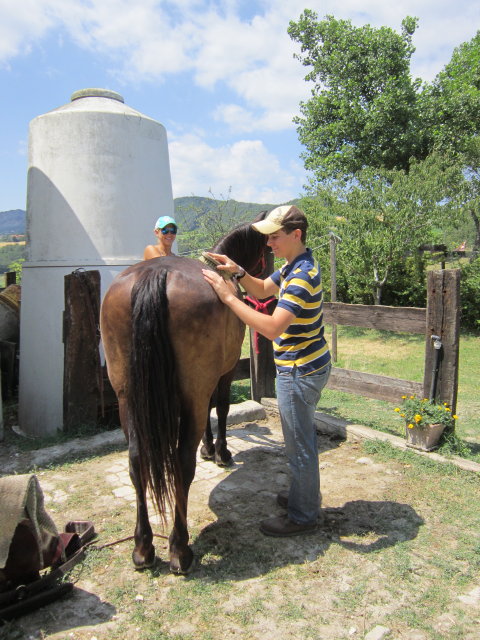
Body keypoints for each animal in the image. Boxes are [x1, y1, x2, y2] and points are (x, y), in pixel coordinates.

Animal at [100, 213, 269, 574]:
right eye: (266, 249)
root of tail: (155, 275)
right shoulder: (221, 375)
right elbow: (220, 409)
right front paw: (219, 452)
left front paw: (209, 448)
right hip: (190, 393)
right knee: (180, 463)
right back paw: (179, 547)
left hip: (127, 399)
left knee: (137, 461)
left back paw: (143, 547)